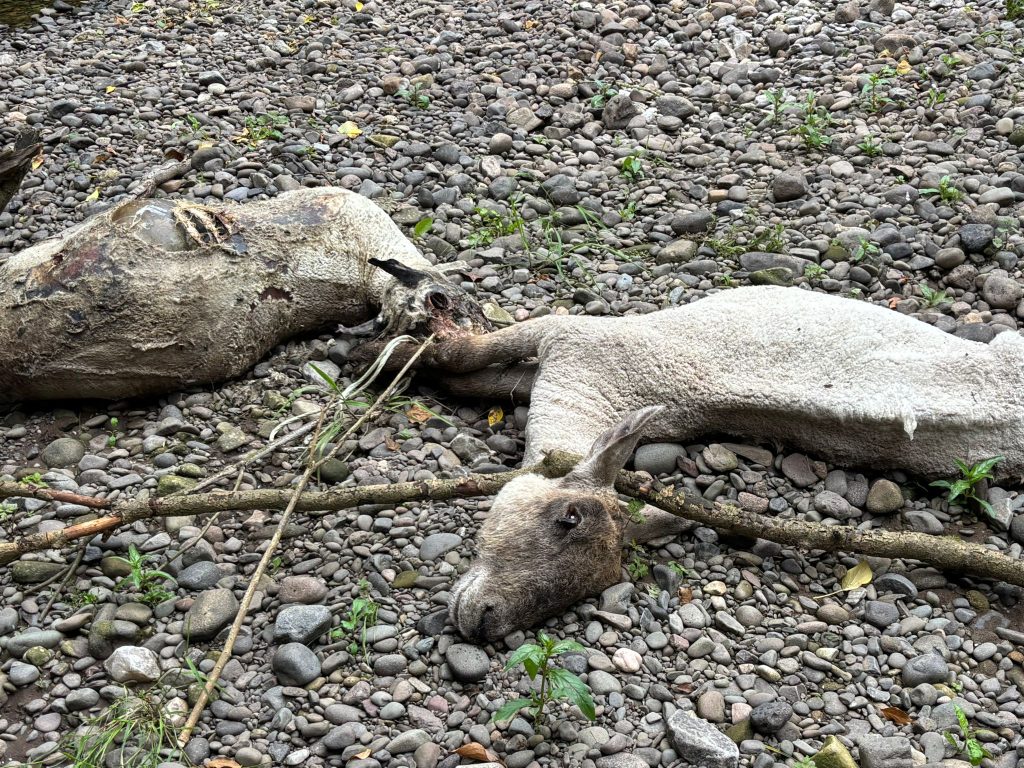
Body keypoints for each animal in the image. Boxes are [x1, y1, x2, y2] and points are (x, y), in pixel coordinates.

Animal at [445, 286, 1024, 640]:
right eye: (566, 519)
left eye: (592, 586)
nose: (484, 622)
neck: (606, 394)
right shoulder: (573, 341)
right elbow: (469, 365)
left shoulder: (575, 344)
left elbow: (466, 366)